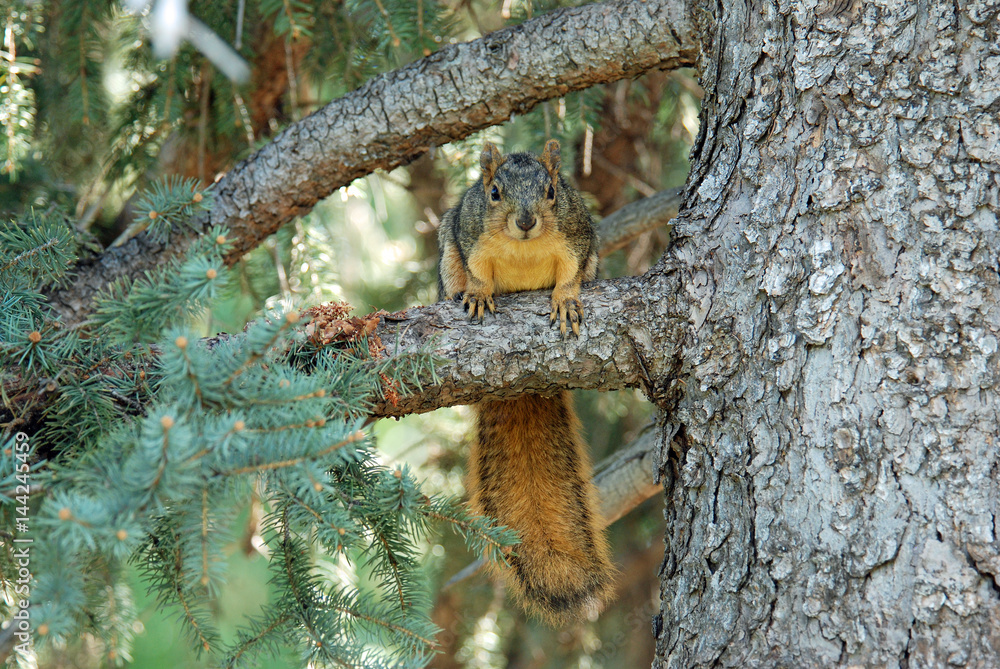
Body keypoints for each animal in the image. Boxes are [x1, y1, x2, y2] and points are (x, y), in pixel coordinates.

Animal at [437, 139, 615, 624]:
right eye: (494, 193)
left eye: (552, 191)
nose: (525, 221)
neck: (523, 248)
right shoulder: (470, 235)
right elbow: (478, 272)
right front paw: (479, 293)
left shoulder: (576, 235)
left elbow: (570, 275)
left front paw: (566, 300)